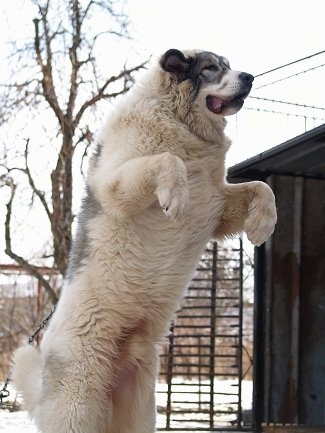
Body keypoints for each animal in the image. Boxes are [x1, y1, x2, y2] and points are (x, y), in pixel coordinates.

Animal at [12, 49, 276, 432]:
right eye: (211, 68)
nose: (250, 77)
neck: (180, 124)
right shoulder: (117, 186)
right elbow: (168, 160)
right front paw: (175, 196)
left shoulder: (218, 205)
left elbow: (261, 188)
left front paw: (263, 224)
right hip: (78, 402)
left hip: (138, 407)